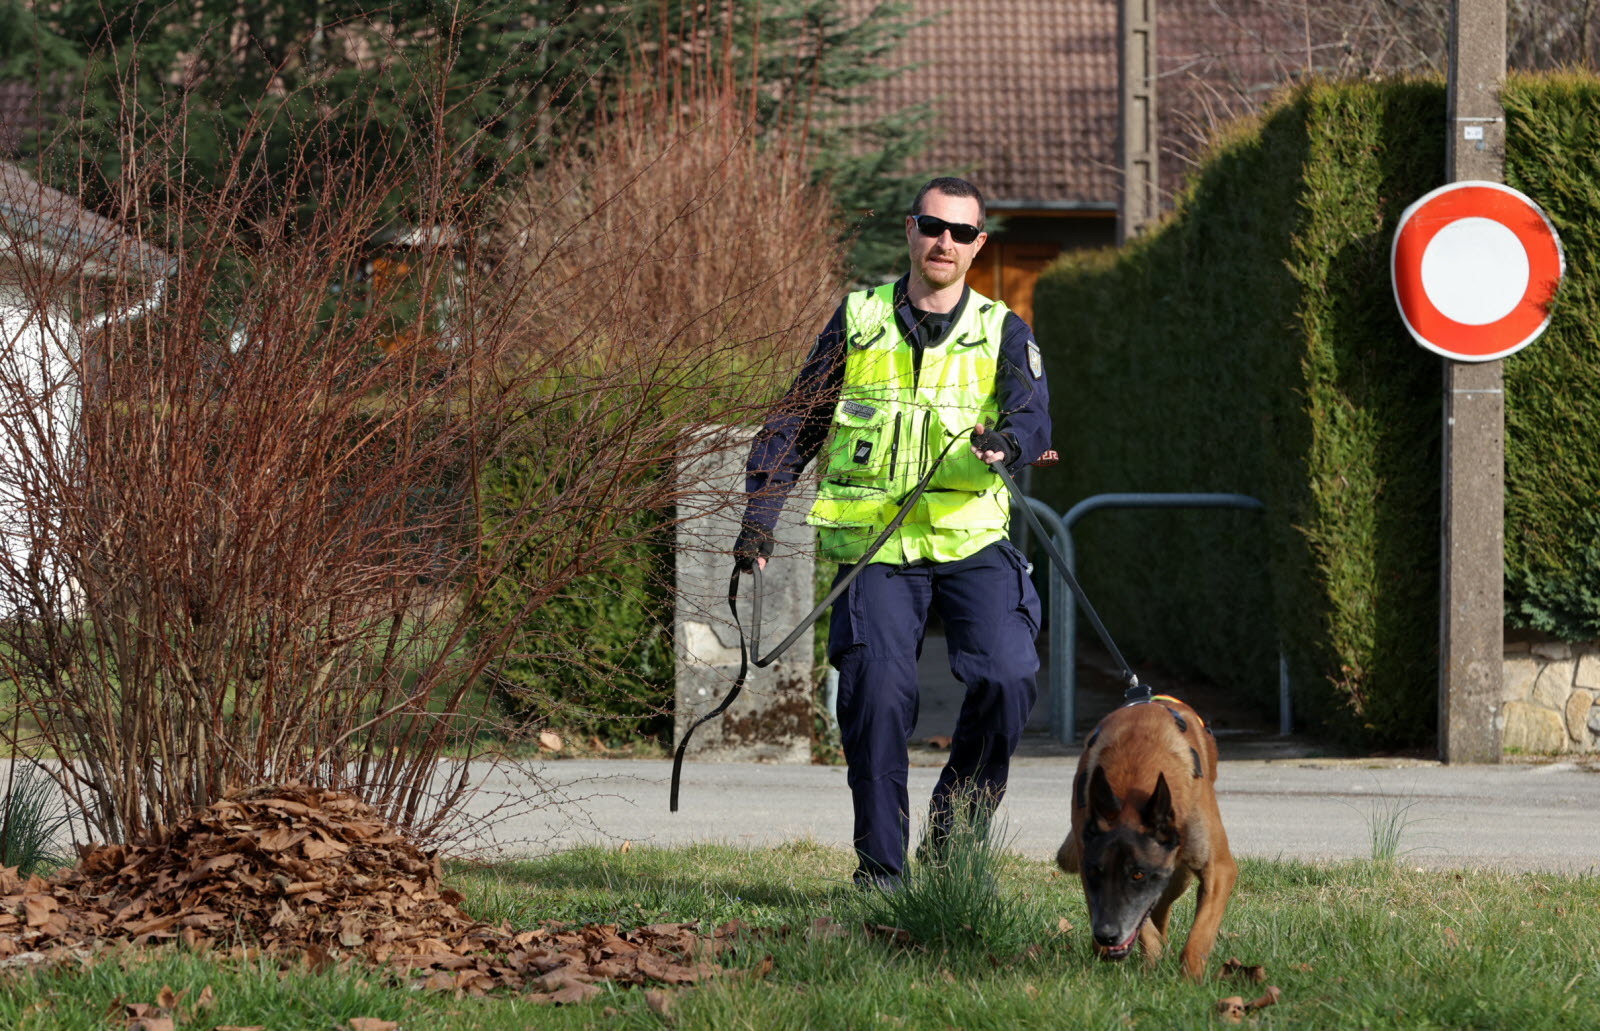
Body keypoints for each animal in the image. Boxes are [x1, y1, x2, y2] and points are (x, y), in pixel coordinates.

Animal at [1062, 698, 1235, 979]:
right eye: (1096, 872)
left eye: (1138, 874)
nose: (1107, 935)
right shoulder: (1089, 873)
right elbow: (1144, 930)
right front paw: (1153, 958)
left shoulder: (1219, 870)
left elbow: (1198, 938)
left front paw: (1190, 979)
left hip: (1181, 876)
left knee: (1162, 906)